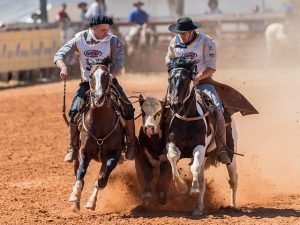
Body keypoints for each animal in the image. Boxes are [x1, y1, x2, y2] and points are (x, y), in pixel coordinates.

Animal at [68, 58, 124, 211]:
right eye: (92, 76)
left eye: (106, 76)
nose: (99, 98)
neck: (99, 123)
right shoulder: (83, 151)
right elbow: (80, 173)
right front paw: (74, 196)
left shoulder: (114, 154)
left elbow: (101, 180)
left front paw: (91, 202)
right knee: (77, 172)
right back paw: (76, 205)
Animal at [165, 58, 238, 216]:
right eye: (170, 79)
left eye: (186, 79)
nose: (175, 104)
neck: (187, 120)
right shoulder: (173, 145)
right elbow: (172, 159)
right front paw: (181, 187)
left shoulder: (200, 147)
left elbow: (194, 167)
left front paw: (193, 189)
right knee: (203, 181)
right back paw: (198, 208)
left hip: (231, 154)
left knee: (233, 179)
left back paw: (233, 205)